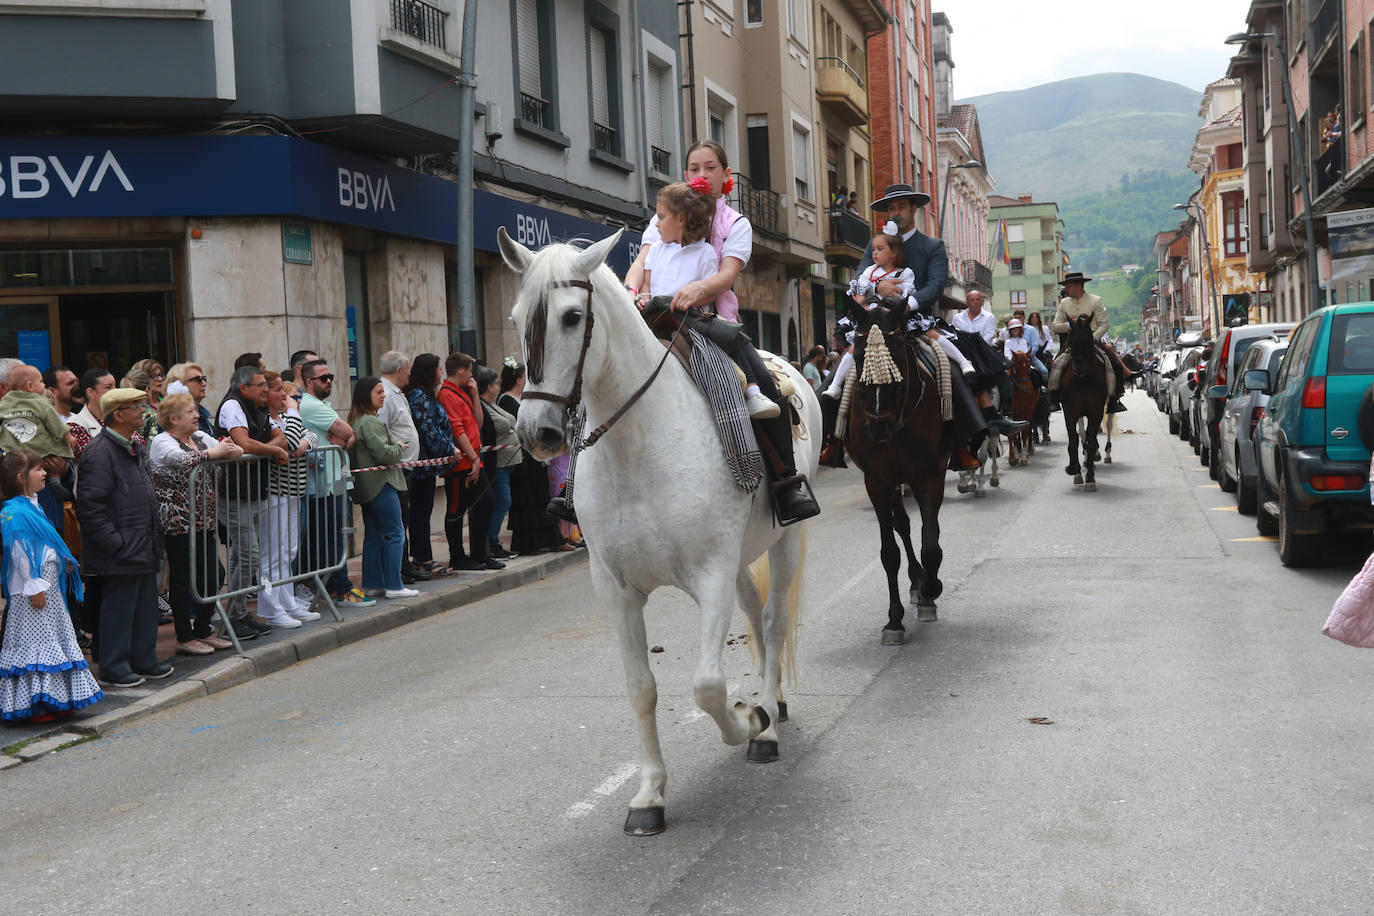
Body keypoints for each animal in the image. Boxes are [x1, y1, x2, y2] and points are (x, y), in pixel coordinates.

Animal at [500, 227, 818, 840]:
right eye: (517, 317)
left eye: (573, 316)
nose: (536, 434)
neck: (639, 448)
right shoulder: (616, 589)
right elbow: (641, 688)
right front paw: (649, 794)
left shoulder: (710, 574)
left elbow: (707, 686)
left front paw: (749, 719)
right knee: (755, 612)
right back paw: (773, 700)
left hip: (783, 540)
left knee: (771, 619)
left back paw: (767, 723)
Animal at [840, 300, 950, 645]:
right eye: (859, 356)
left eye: (899, 356)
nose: (878, 425)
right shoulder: (877, 481)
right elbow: (889, 552)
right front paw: (894, 620)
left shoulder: (928, 475)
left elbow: (932, 543)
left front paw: (931, 590)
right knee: (902, 524)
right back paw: (915, 581)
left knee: (928, 525)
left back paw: (923, 585)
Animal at [1055, 315, 1110, 491]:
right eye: (1071, 343)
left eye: (1089, 340)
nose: (1080, 369)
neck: (1083, 381)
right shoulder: (1070, 412)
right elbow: (1073, 442)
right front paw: (1075, 470)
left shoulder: (1096, 412)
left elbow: (1091, 443)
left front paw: (1090, 478)